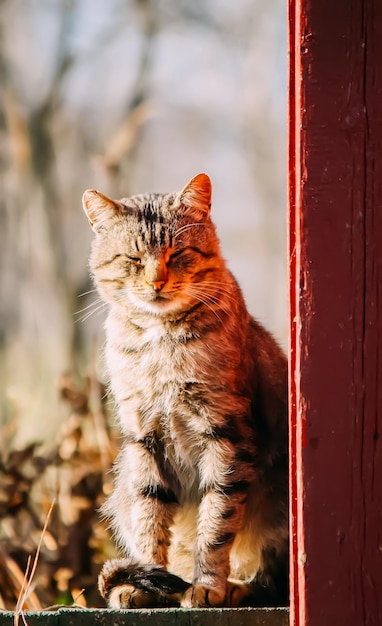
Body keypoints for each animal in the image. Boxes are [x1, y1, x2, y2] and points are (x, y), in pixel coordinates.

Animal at [82, 173, 288, 608]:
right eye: (134, 259)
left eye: (176, 254)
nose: (156, 281)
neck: (160, 339)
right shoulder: (144, 439)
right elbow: (150, 518)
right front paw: (143, 584)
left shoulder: (225, 434)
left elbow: (216, 521)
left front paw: (208, 585)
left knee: (270, 577)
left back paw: (235, 586)